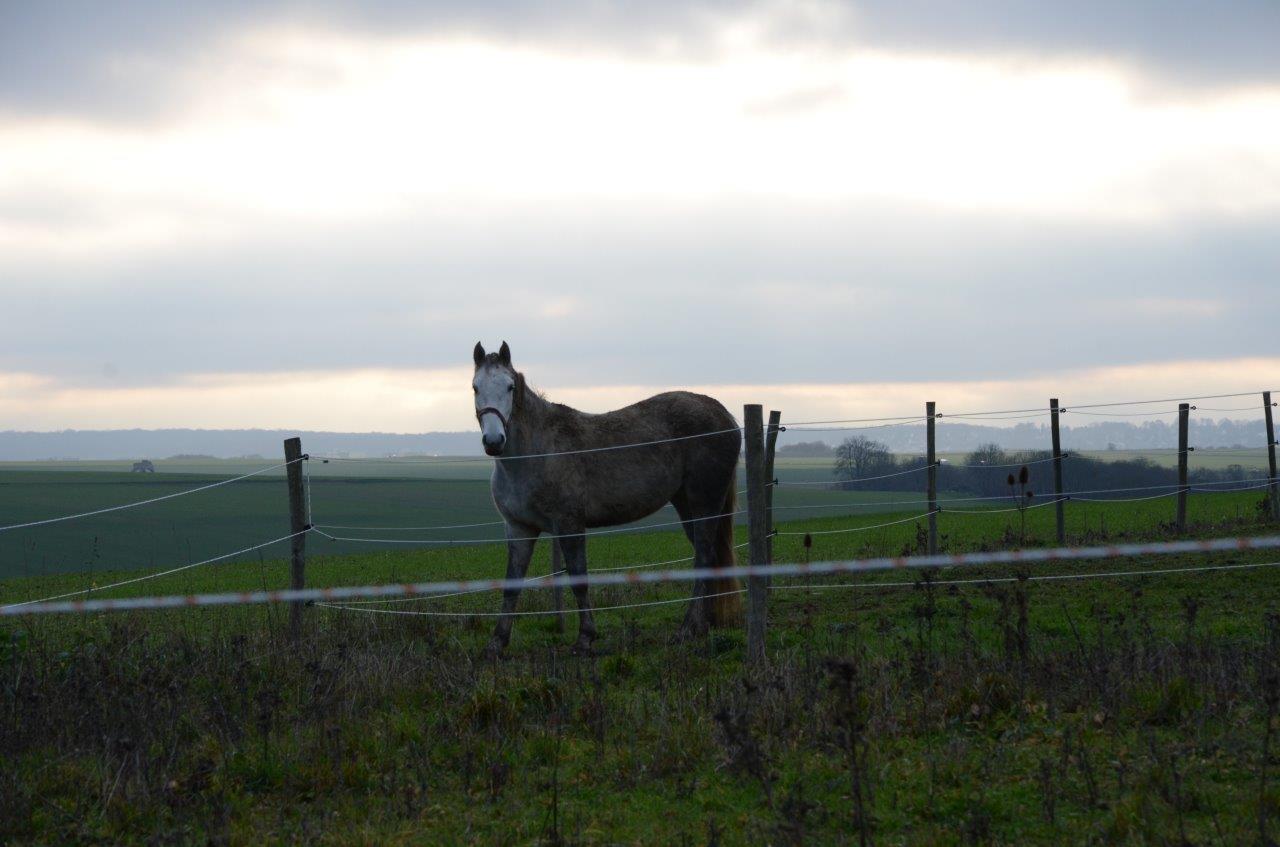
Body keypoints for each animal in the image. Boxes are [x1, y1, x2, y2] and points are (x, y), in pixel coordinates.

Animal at [476, 340, 747, 655]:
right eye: (475, 387)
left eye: (509, 387)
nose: (494, 441)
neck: (534, 453)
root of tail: (724, 415)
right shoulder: (519, 528)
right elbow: (511, 584)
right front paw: (497, 642)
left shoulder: (569, 525)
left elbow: (579, 579)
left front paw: (585, 638)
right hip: (685, 505)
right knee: (711, 559)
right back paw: (704, 626)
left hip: (705, 503)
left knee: (703, 558)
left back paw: (687, 629)